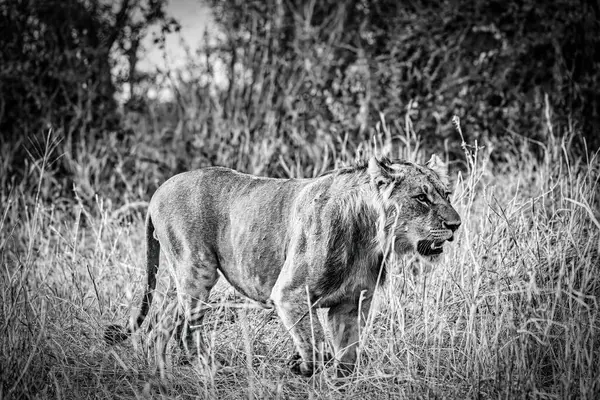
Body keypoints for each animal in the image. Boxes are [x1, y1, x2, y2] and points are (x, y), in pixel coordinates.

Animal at [104, 155, 460, 376]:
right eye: (421, 198)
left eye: (446, 193)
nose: (456, 224)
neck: (370, 237)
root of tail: (158, 190)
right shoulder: (290, 293)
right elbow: (317, 347)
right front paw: (300, 367)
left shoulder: (350, 303)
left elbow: (347, 356)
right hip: (196, 270)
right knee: (175, 329)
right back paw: (186, 374)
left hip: (189, 279)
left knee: (173, 325)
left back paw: (184, 371)